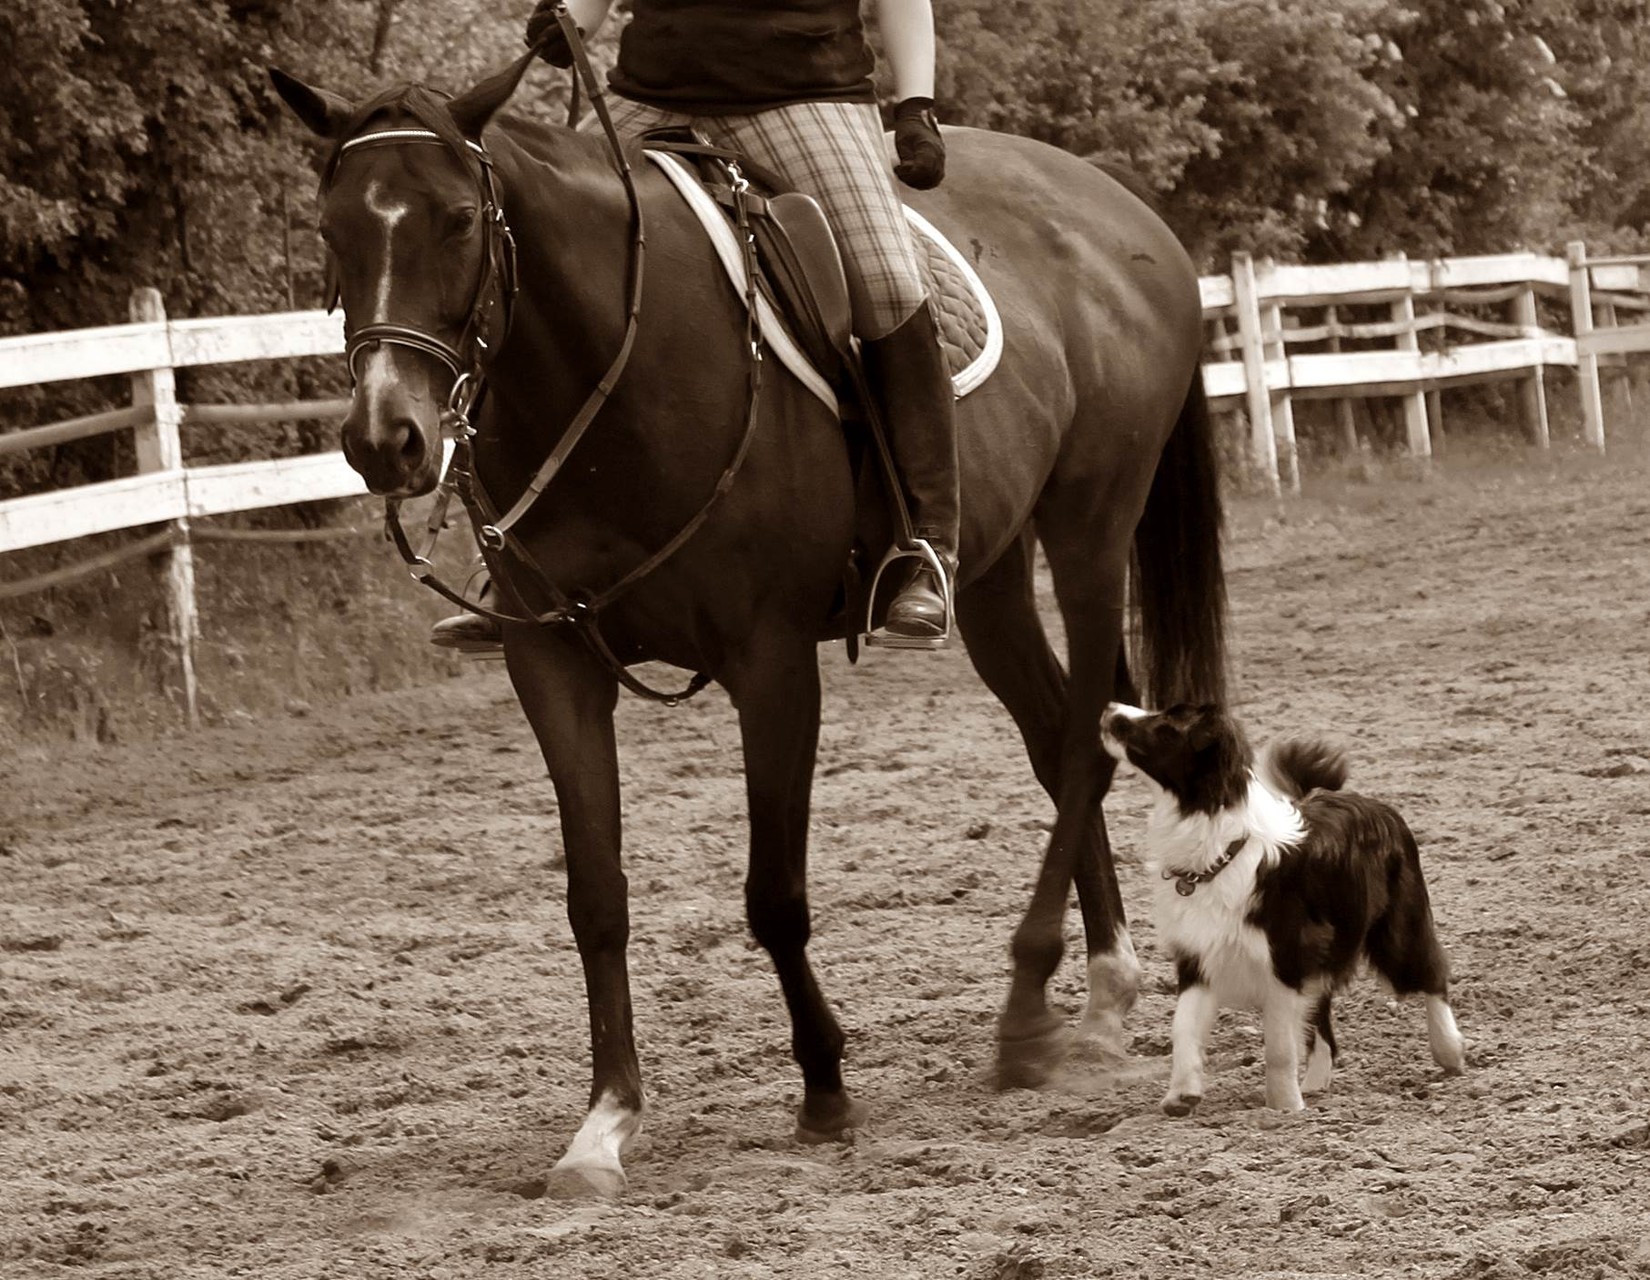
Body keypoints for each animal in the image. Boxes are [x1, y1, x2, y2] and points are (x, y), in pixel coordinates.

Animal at [270, 54, 1227, 1200]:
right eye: (334, 228)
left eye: (458, 220)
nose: (386, 438)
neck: (612, 364)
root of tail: (1123, 207)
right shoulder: (551, 663)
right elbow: (595, 895)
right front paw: (605, 1122)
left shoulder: (769, 662)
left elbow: (774, 891)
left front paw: (824, 1086)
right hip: (991, 571)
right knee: (1051, 736)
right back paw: (1096, 989)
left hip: (1088, 530)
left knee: (1083, 739)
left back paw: (1036, 1004)